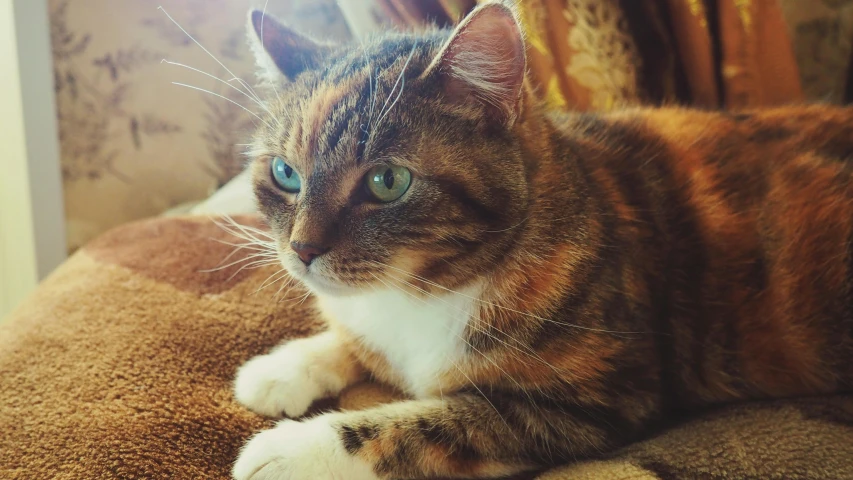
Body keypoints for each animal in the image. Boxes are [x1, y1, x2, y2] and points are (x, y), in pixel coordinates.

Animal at [230, 1, 852, 478]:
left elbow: (438, 422)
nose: (302, 251)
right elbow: (356, 341)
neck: (424, 291)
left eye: (388, 182)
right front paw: (282, 368)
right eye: (284, 173)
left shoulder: (599, 402)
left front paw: (291, 450)